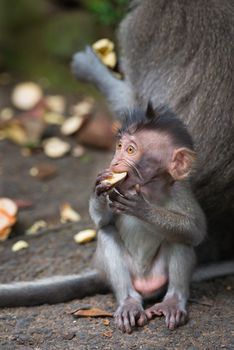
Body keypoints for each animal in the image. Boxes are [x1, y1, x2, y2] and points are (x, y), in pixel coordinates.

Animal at [88, 103, 206, 330]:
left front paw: (142, 208)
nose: (114, 163)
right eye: (119, 146)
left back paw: (172, 301)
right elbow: (102, 222)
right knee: (106, 234)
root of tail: (146, 283)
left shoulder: (180, 189)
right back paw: (129, 303)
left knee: (181, 238)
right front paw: (100, 186)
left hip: (159, 274)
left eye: (130, 150)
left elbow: (196, 230)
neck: (148, 189)